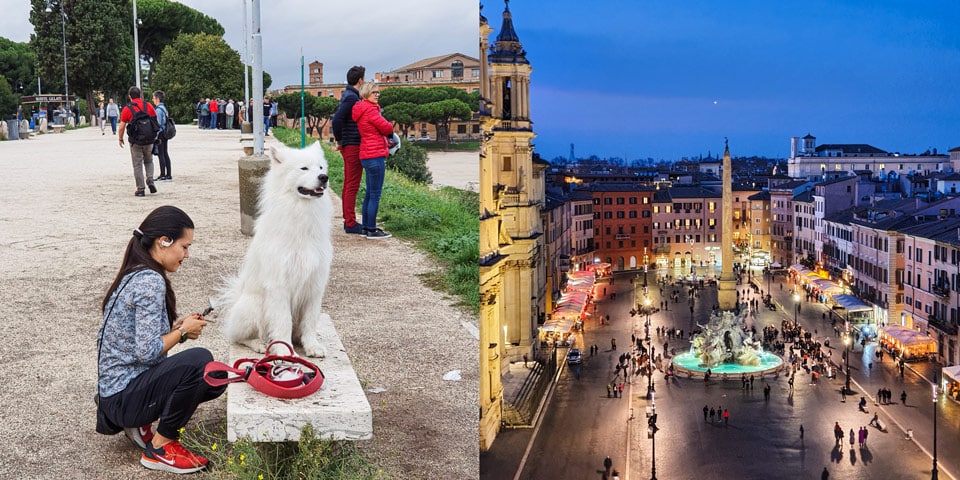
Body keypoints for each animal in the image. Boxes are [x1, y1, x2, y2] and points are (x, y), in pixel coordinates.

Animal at [219, 142, 332, 356]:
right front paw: (285, 351)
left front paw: (312, 347)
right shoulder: (279, 286)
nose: (324, 177)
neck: (302, 213)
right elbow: (283, 322)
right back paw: (260, 344)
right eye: (304, 168)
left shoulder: (314, 286)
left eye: (321, 167)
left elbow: (310, 321)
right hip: (254, 306)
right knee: (238, 337)